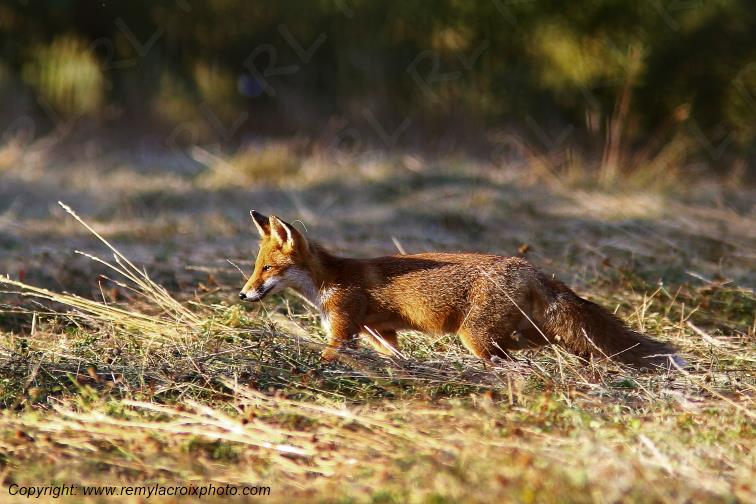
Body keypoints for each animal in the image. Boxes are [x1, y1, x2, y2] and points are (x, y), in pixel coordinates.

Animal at [239, 210, 683, 369]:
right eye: (255, 269)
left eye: (267, 269)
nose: (243, 295)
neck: (328, 280)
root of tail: (530, 267)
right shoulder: (380, 332)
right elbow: (396, 354)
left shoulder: (345, 330)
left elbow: (330, 354)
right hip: (519, 332)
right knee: (541, 345)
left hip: (476, 337)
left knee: (511, 359)